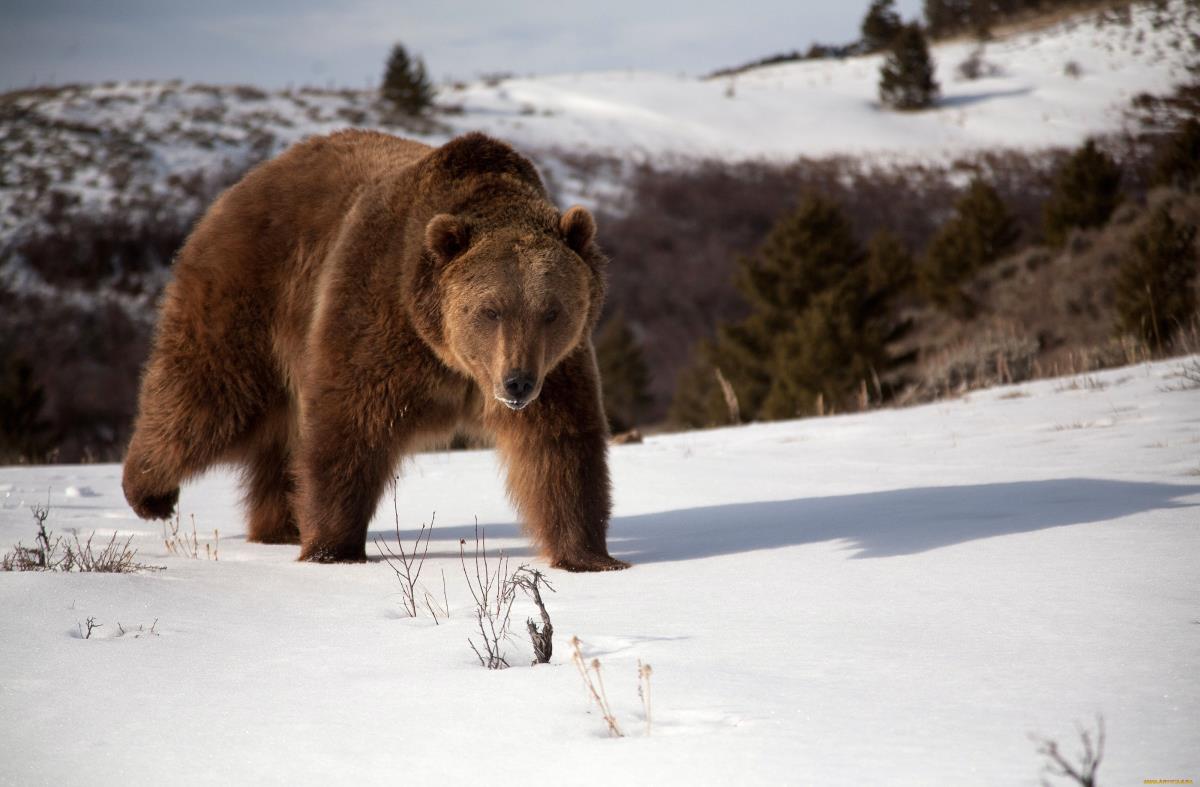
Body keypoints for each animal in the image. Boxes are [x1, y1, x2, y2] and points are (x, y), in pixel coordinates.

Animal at [121, 128, 628, 571]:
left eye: (552, 310)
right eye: (490, 310)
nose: (517, 383)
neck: (450, 358)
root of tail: (243, 184)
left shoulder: (557, 366)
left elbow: (560, 447)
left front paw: (591, 557)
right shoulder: (379, 317)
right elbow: (350, 427)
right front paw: (333, 550)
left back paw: (278, 526)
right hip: (249, 297)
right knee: (208, 395)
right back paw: (149, 492)